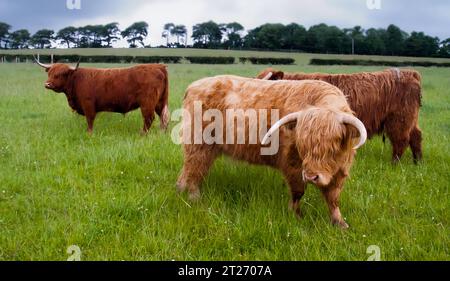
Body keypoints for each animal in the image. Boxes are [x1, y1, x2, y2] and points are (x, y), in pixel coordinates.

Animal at [176, 75, 366, 228]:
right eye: (302, 146)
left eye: (332, 146)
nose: (311, 177)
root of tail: (193, 86)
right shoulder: (292, 164)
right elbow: (298, 192)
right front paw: (296, 216)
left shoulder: (341, 169)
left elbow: (333, 198)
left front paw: (340, 223)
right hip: (199, 144)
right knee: (194, 170)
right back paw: (194, 198)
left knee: (188, 171)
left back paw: (181, 191)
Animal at [258, 67, 424, 163]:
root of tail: (411, 73)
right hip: (411, 119)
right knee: (416, 136)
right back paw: (418, 162)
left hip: (399, 119)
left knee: (401, 140)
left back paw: (395, 164)